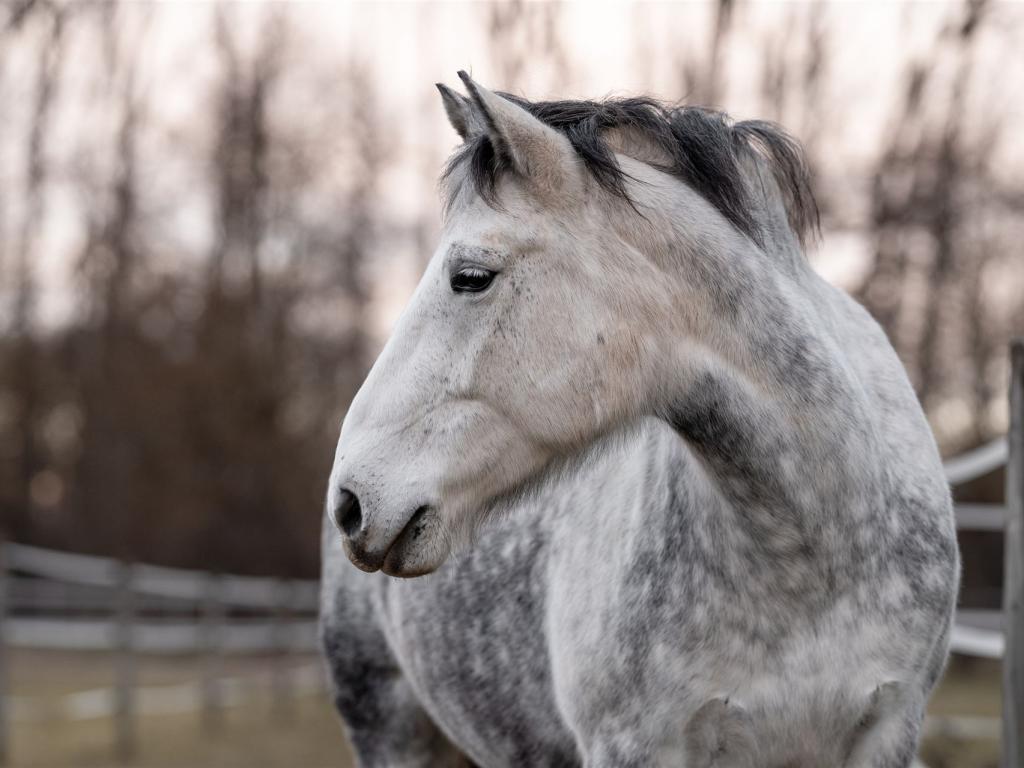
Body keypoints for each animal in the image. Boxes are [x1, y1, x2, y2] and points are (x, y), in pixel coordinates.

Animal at [319, 71, 959, 767]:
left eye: (471, 277)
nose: (351, 501)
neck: (812, 558)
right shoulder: (630, 745)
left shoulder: (891, 731)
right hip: (387, 725)